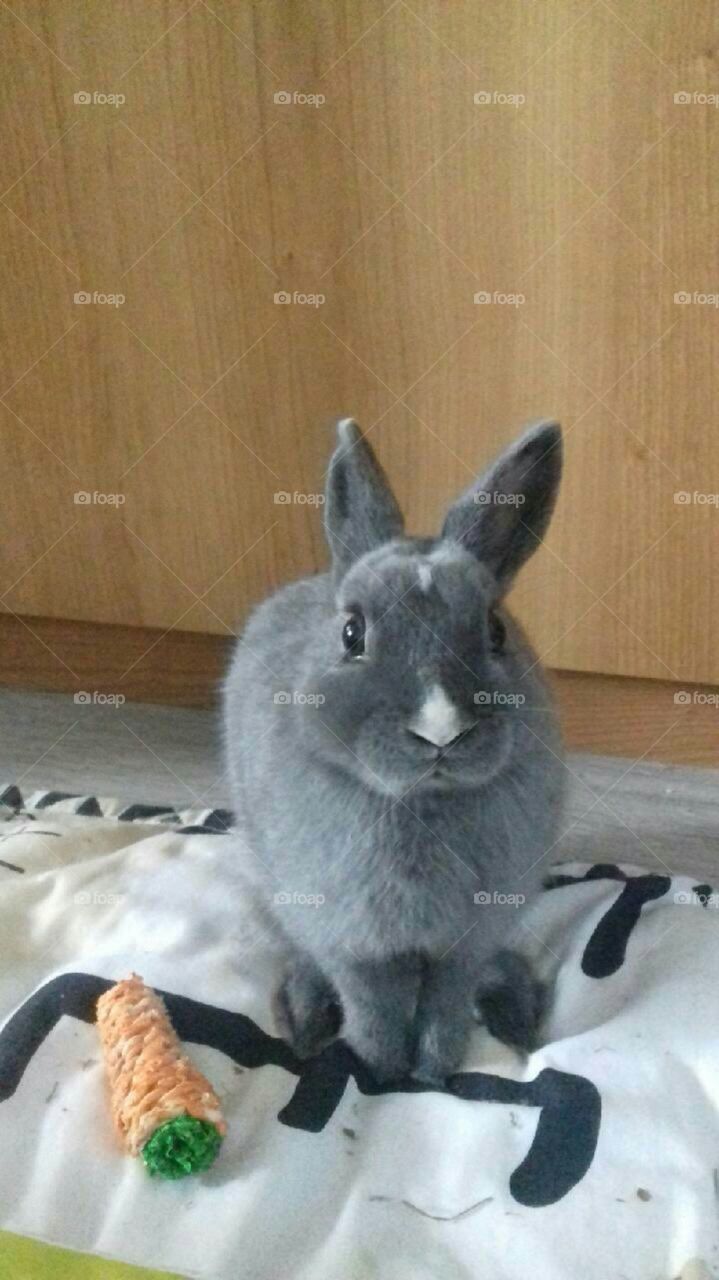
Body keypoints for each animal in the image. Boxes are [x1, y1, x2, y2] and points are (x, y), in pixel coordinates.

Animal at [223, 417, 566, 1084]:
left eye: (496, 630)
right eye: (352, 632)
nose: (441, 731)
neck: (419, 802)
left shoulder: (464, 943)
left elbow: (445, 1007)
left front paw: (433, 1077)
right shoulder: (354, 944)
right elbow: (375, 1011)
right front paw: (379, 1076)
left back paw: (515, 1009)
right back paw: (306, 1019)